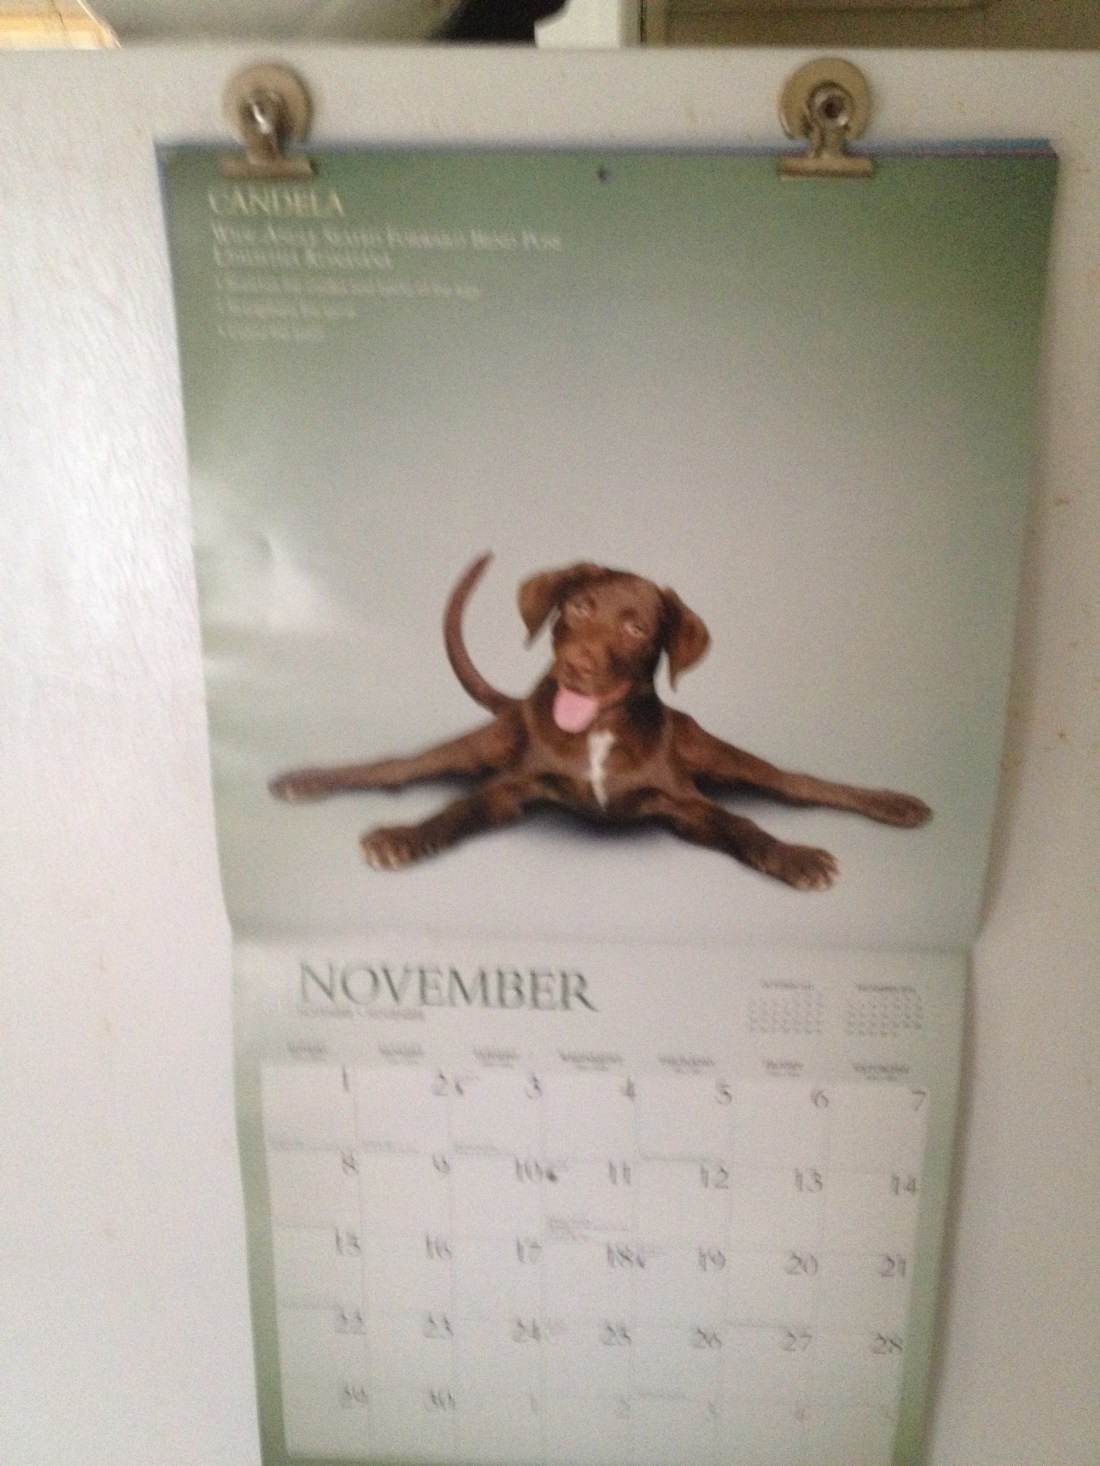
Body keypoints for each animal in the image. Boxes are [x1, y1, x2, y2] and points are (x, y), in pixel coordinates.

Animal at [270, 554, 931, 889]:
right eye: (580, 607)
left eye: (637, 627)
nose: (575, 665)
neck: (596, 732)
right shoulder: (511, 788)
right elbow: (458, 807)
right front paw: (405, 838)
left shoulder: (686, 803)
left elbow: (742, 823)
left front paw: (791, 857)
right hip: (482, 743)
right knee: (398, 767)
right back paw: (306, 780)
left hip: (711, 749)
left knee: (793, 782)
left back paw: (895, 803)